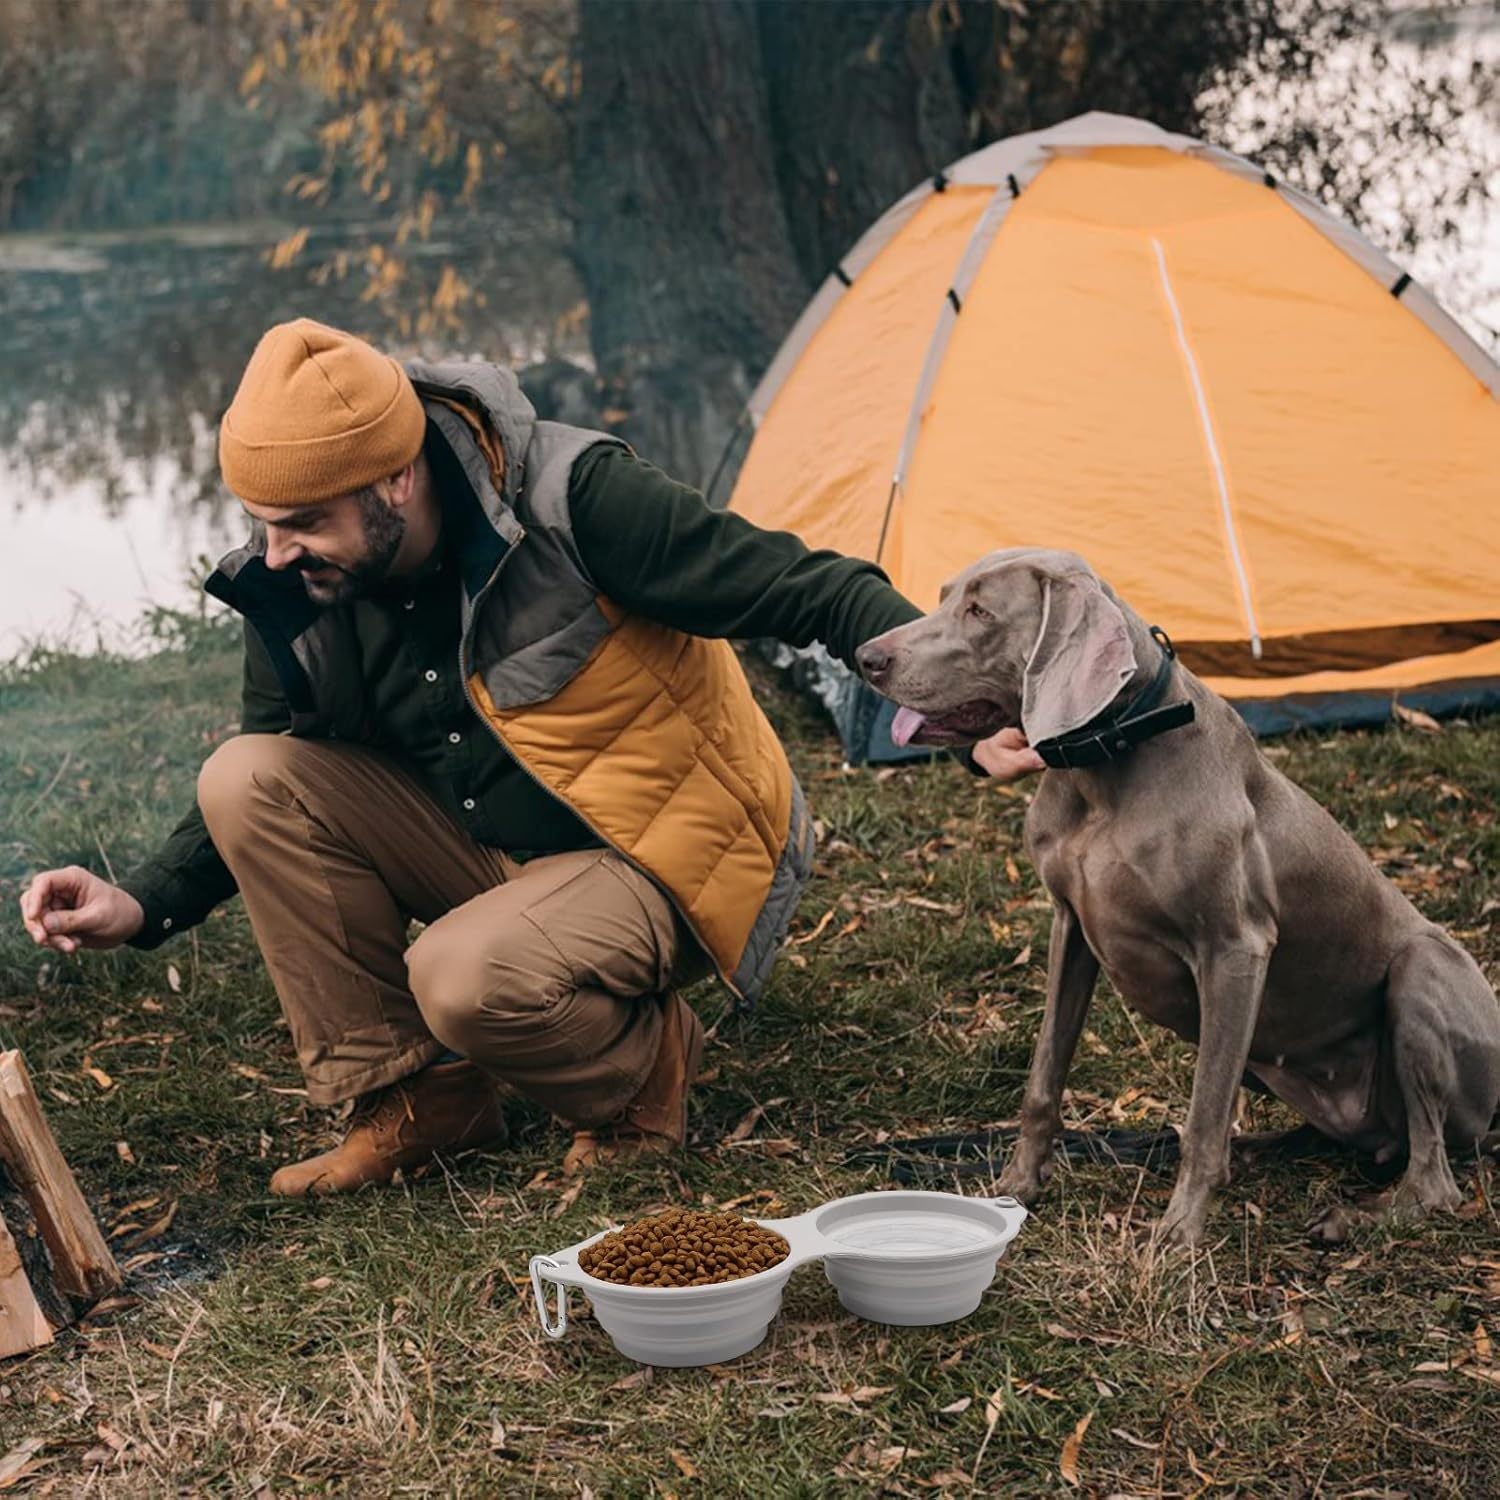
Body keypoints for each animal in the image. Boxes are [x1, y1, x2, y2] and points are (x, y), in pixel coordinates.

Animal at [858, 552, 1500, 1242]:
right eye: (944, 595)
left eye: (980, 612)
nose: (866, 657)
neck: (1109, 759)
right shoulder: (1070, 925)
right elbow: (1044, 1077)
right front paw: (1015, 1186)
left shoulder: (1235, 948)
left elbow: (1205, 1112)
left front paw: (1179, 1233)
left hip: (1424, 970)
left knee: (1433, 1178)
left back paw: (1349, 1217)